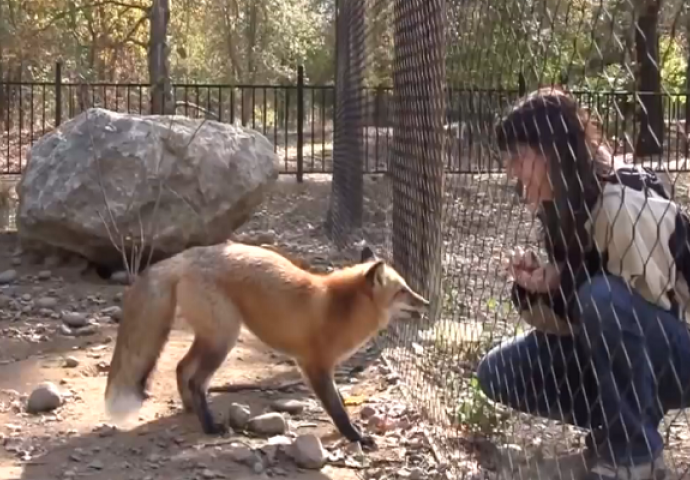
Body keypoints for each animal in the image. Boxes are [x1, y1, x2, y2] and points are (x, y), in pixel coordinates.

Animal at [105, 242, 428, 448]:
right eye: (403, 291)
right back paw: (210, 427)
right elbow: (338, 411)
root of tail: (183, 257)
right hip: (223, 338)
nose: (426, 302)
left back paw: (190, 410)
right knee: (196, 379)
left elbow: (339, 403)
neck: (339, 309)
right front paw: (356, 437)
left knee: (181, 368)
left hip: (212, 337)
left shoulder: (323, 370)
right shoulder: (315, 367)